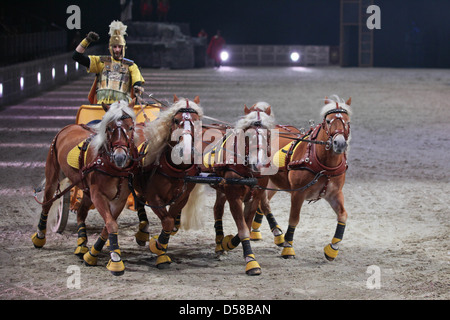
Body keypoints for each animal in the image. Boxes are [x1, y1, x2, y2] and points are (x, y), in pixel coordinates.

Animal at [32, 99, 142, 276]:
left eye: (131, 127)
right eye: (109, 128)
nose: (120, 157)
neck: (112, 166)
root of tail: (68, 127)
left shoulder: (119, 199)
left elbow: (108, 225)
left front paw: (93, 254)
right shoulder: (98, 195)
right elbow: (111, 224)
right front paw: (116, 261)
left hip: (85, 189)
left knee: (81, 213)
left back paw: (82, 245)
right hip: (53, 176)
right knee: (47, 203)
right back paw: (40, 237)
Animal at [131, 94, 207, 268]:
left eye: (197, 121)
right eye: (176, 120)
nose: (186, 150)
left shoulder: (182, 197)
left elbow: (171, 218)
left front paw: (161, 244)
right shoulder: (154, 197)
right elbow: (167, 220)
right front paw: (160, 249)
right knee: (139, 202)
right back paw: (142, 232)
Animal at [201, 102, 278, 276]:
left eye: (268, 134)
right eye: (247, 136)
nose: (258, 165)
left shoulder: (254, 198)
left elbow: (246, 227)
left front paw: (228, 242)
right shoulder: (234, 198)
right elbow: (243, 229)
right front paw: (251, 262)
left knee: (217, 209)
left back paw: (220, 245)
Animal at [253, 96, 352, 262]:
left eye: (348, 121)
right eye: (328, 121)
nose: (339, 143)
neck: (324, 166)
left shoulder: (335, 194)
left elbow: (343, 216)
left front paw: (332, 249)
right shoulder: (298, 193)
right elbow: (294, 219)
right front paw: (288, 248)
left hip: (274, 183)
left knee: (263, 204)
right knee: (263, 203)